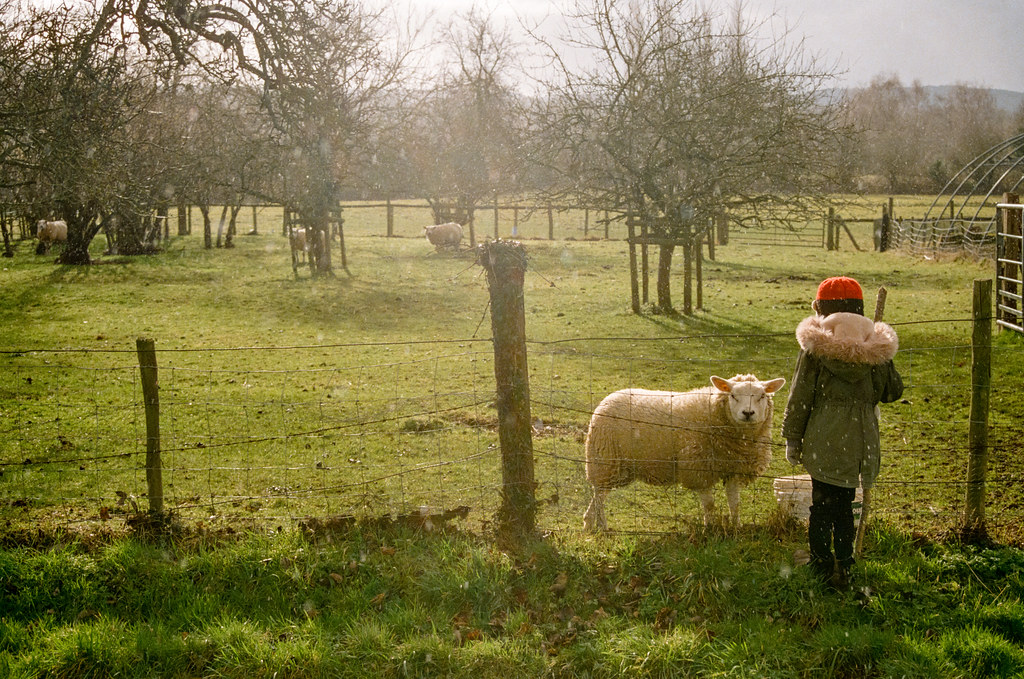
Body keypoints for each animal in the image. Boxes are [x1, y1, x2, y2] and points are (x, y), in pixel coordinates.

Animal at [581, 374, 786, 532]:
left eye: (762, 395)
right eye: (733, 395)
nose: (748, 413)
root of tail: (606, 400)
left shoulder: (733, 469)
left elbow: (734, 503)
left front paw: (737, 528)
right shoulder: (699, 468)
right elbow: (709, 505)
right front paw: (709, 529)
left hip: (618, 467)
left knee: (599, 494)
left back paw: (589, 524)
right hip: (605, 460)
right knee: (599, 496)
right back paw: (602, 526)